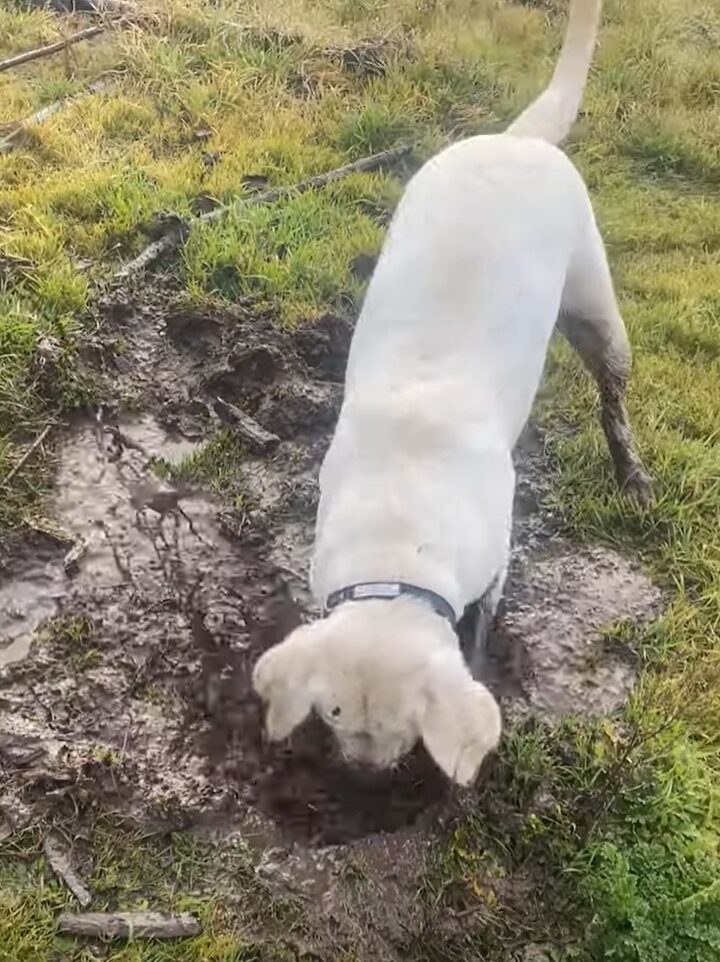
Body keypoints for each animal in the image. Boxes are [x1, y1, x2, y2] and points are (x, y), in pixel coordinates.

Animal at [253, 0, 652, 780]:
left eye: (409, 728)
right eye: (333, 715)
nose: (364, 777)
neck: (397, 532)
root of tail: (518, 137)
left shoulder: (493, 564)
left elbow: (481, 627)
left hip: (594, 305)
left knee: (613, 395)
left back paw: (633, 476)